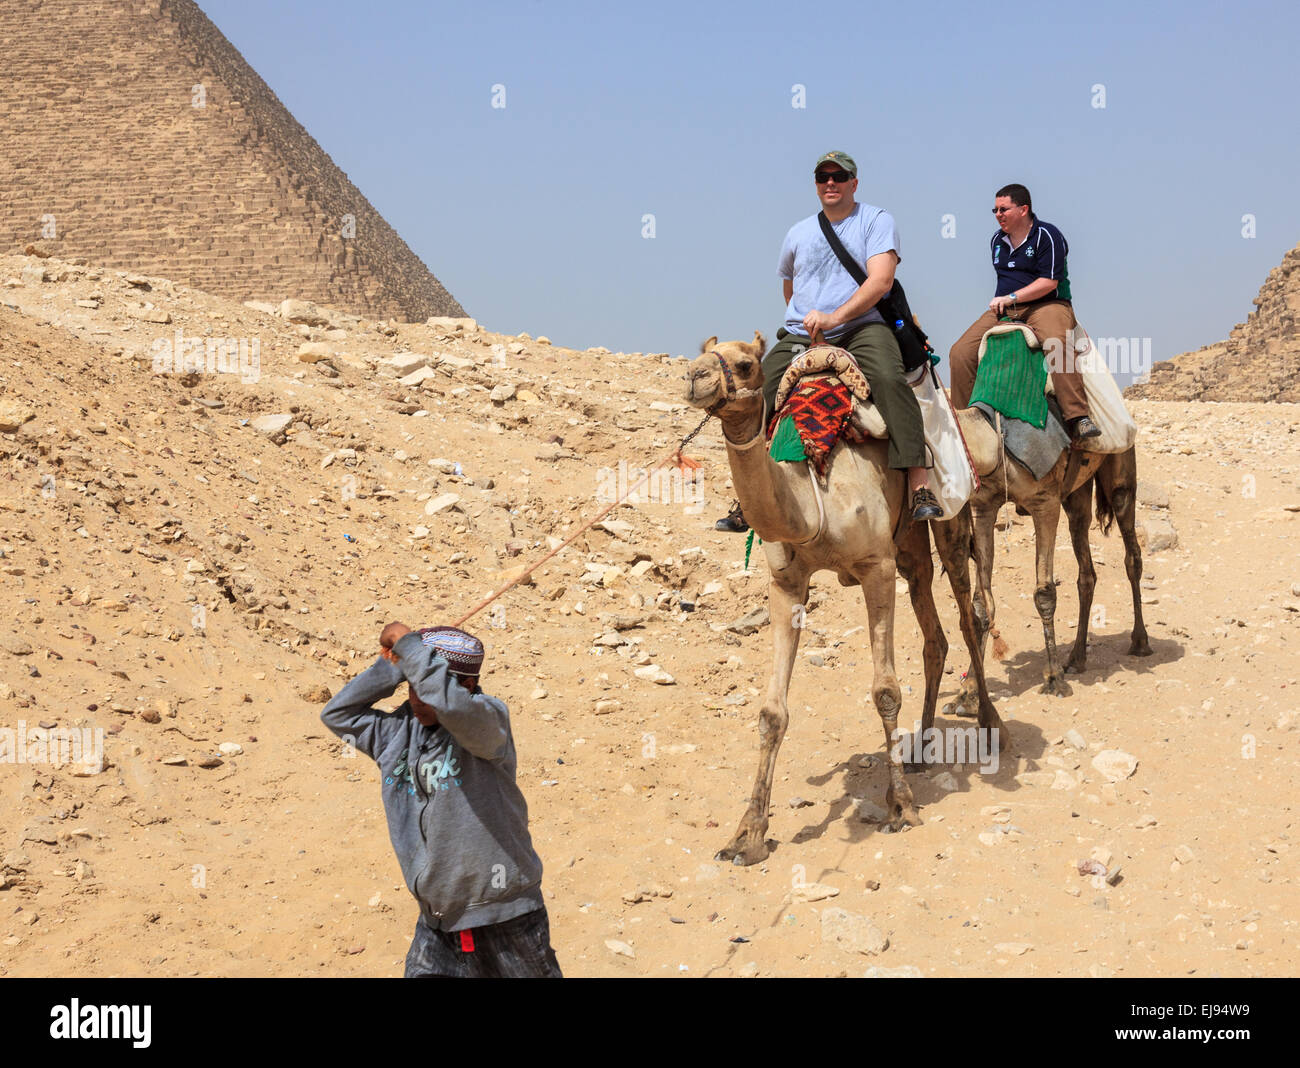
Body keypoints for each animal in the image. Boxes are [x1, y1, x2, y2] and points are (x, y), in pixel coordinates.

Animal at [681, 335, 1003, 867]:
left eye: (744, 364)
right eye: (699, 354)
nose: (695, 376)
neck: (813, 495)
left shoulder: (876, 567)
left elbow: (886, 691)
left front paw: (901, 808)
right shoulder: (786, 582)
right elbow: (772, 712)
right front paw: (747, 835)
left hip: (950, 517)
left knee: (967, 612)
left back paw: (990, 722)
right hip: (909, 548)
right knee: (934, 635)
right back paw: (919, 750)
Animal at [946, 397, 1149, 717]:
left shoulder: (1045, 503)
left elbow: (1044, 592)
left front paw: (1053, 678)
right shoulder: (982, 507)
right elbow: (981, 601)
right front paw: (967, 693)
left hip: (1121, 467)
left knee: (1132, 552)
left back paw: (1140, 642)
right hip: (1076, 493)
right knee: (1086, 569)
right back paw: (1076, 658)